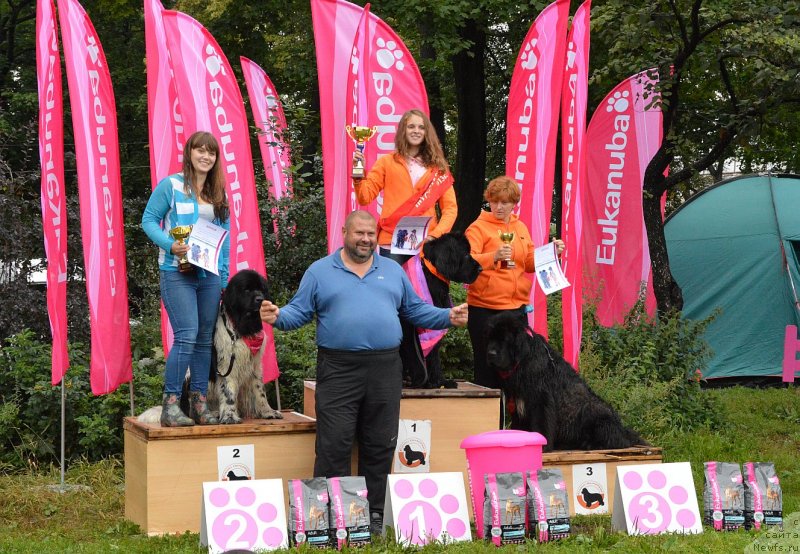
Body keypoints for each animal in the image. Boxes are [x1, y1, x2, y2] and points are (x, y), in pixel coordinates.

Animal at [139, 268, 282, 422]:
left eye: (261, 289)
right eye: (247, 290)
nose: (260, 299)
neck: (241, 326)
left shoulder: (255, 365)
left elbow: (260, 390)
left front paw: (268, 411)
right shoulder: (226, 365)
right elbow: (228, 393)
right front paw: (230, 416)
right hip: (190, 380)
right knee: (191, 408)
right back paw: (212, 413)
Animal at [484, 310, 648, 448]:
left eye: (504, 339)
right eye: (490, 338)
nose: (490, 353)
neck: (523, 360)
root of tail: (623, 431)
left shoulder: (541, 400)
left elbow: (541, 426)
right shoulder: (518, 402)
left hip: (594, 412)